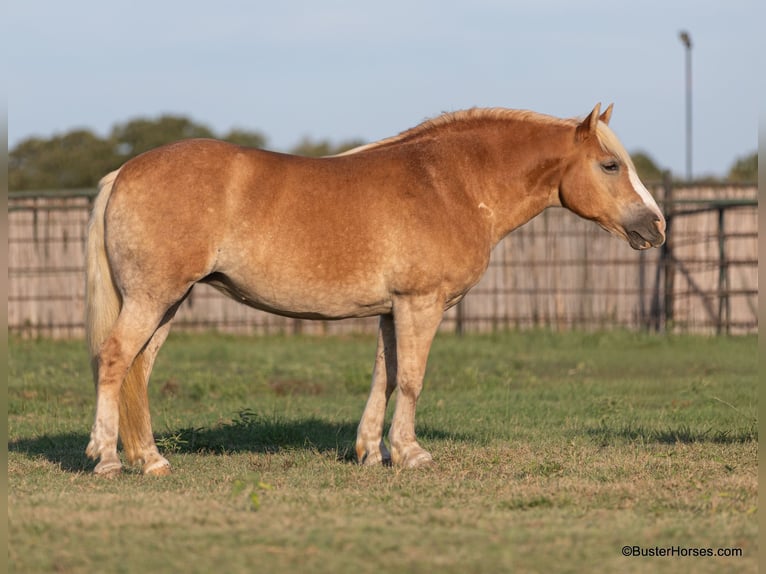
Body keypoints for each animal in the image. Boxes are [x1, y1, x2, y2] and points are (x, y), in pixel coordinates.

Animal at [85, 103, 664, 476]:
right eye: (610, 165)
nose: (656, 226)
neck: (448, 183)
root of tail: (122, 172)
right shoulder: (421, 304)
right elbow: (410, 379)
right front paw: (410, 454)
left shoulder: (393, 309)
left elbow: (384, 378)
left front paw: (371, 451)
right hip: (153, 298)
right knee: (114, 360)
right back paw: (108, 459)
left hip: (166, 303)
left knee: (138, 370)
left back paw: (150, 460)